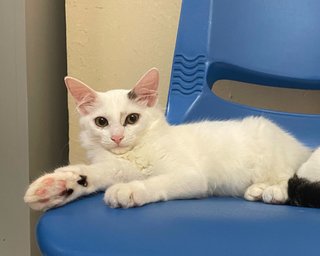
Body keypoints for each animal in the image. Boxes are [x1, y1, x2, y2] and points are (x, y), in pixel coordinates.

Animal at [23, 67, 320, 210]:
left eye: (132, 119)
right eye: (101, 122)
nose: (117, 138)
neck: (135, 153)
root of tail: (300, 146)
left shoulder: (191, 176)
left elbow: (157, 181)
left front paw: (128, 190)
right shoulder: (116, 165)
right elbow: (91, 173)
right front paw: (58, 185)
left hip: (272, 149)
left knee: (287, 178)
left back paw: (268, 191)